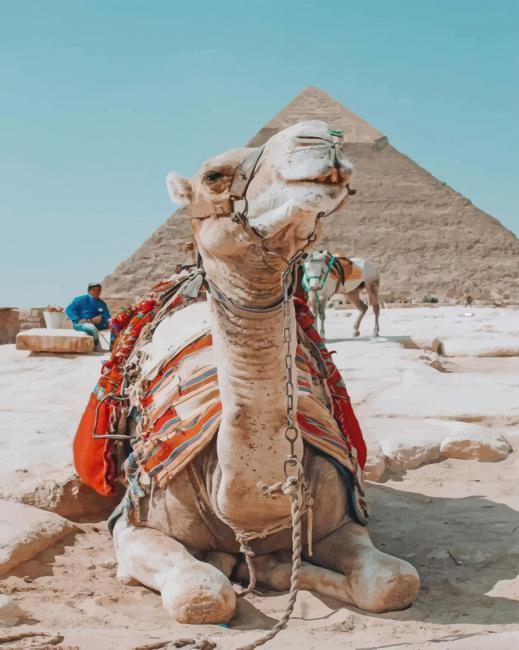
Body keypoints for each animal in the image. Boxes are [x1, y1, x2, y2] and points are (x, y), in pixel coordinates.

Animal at [111, 121, 419, 630]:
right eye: (213, 176)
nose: (320, 136)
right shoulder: (132, 525)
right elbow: (202, 593)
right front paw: (233, 567)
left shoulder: (341, 518)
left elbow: (394, 582)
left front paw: (280, 569)